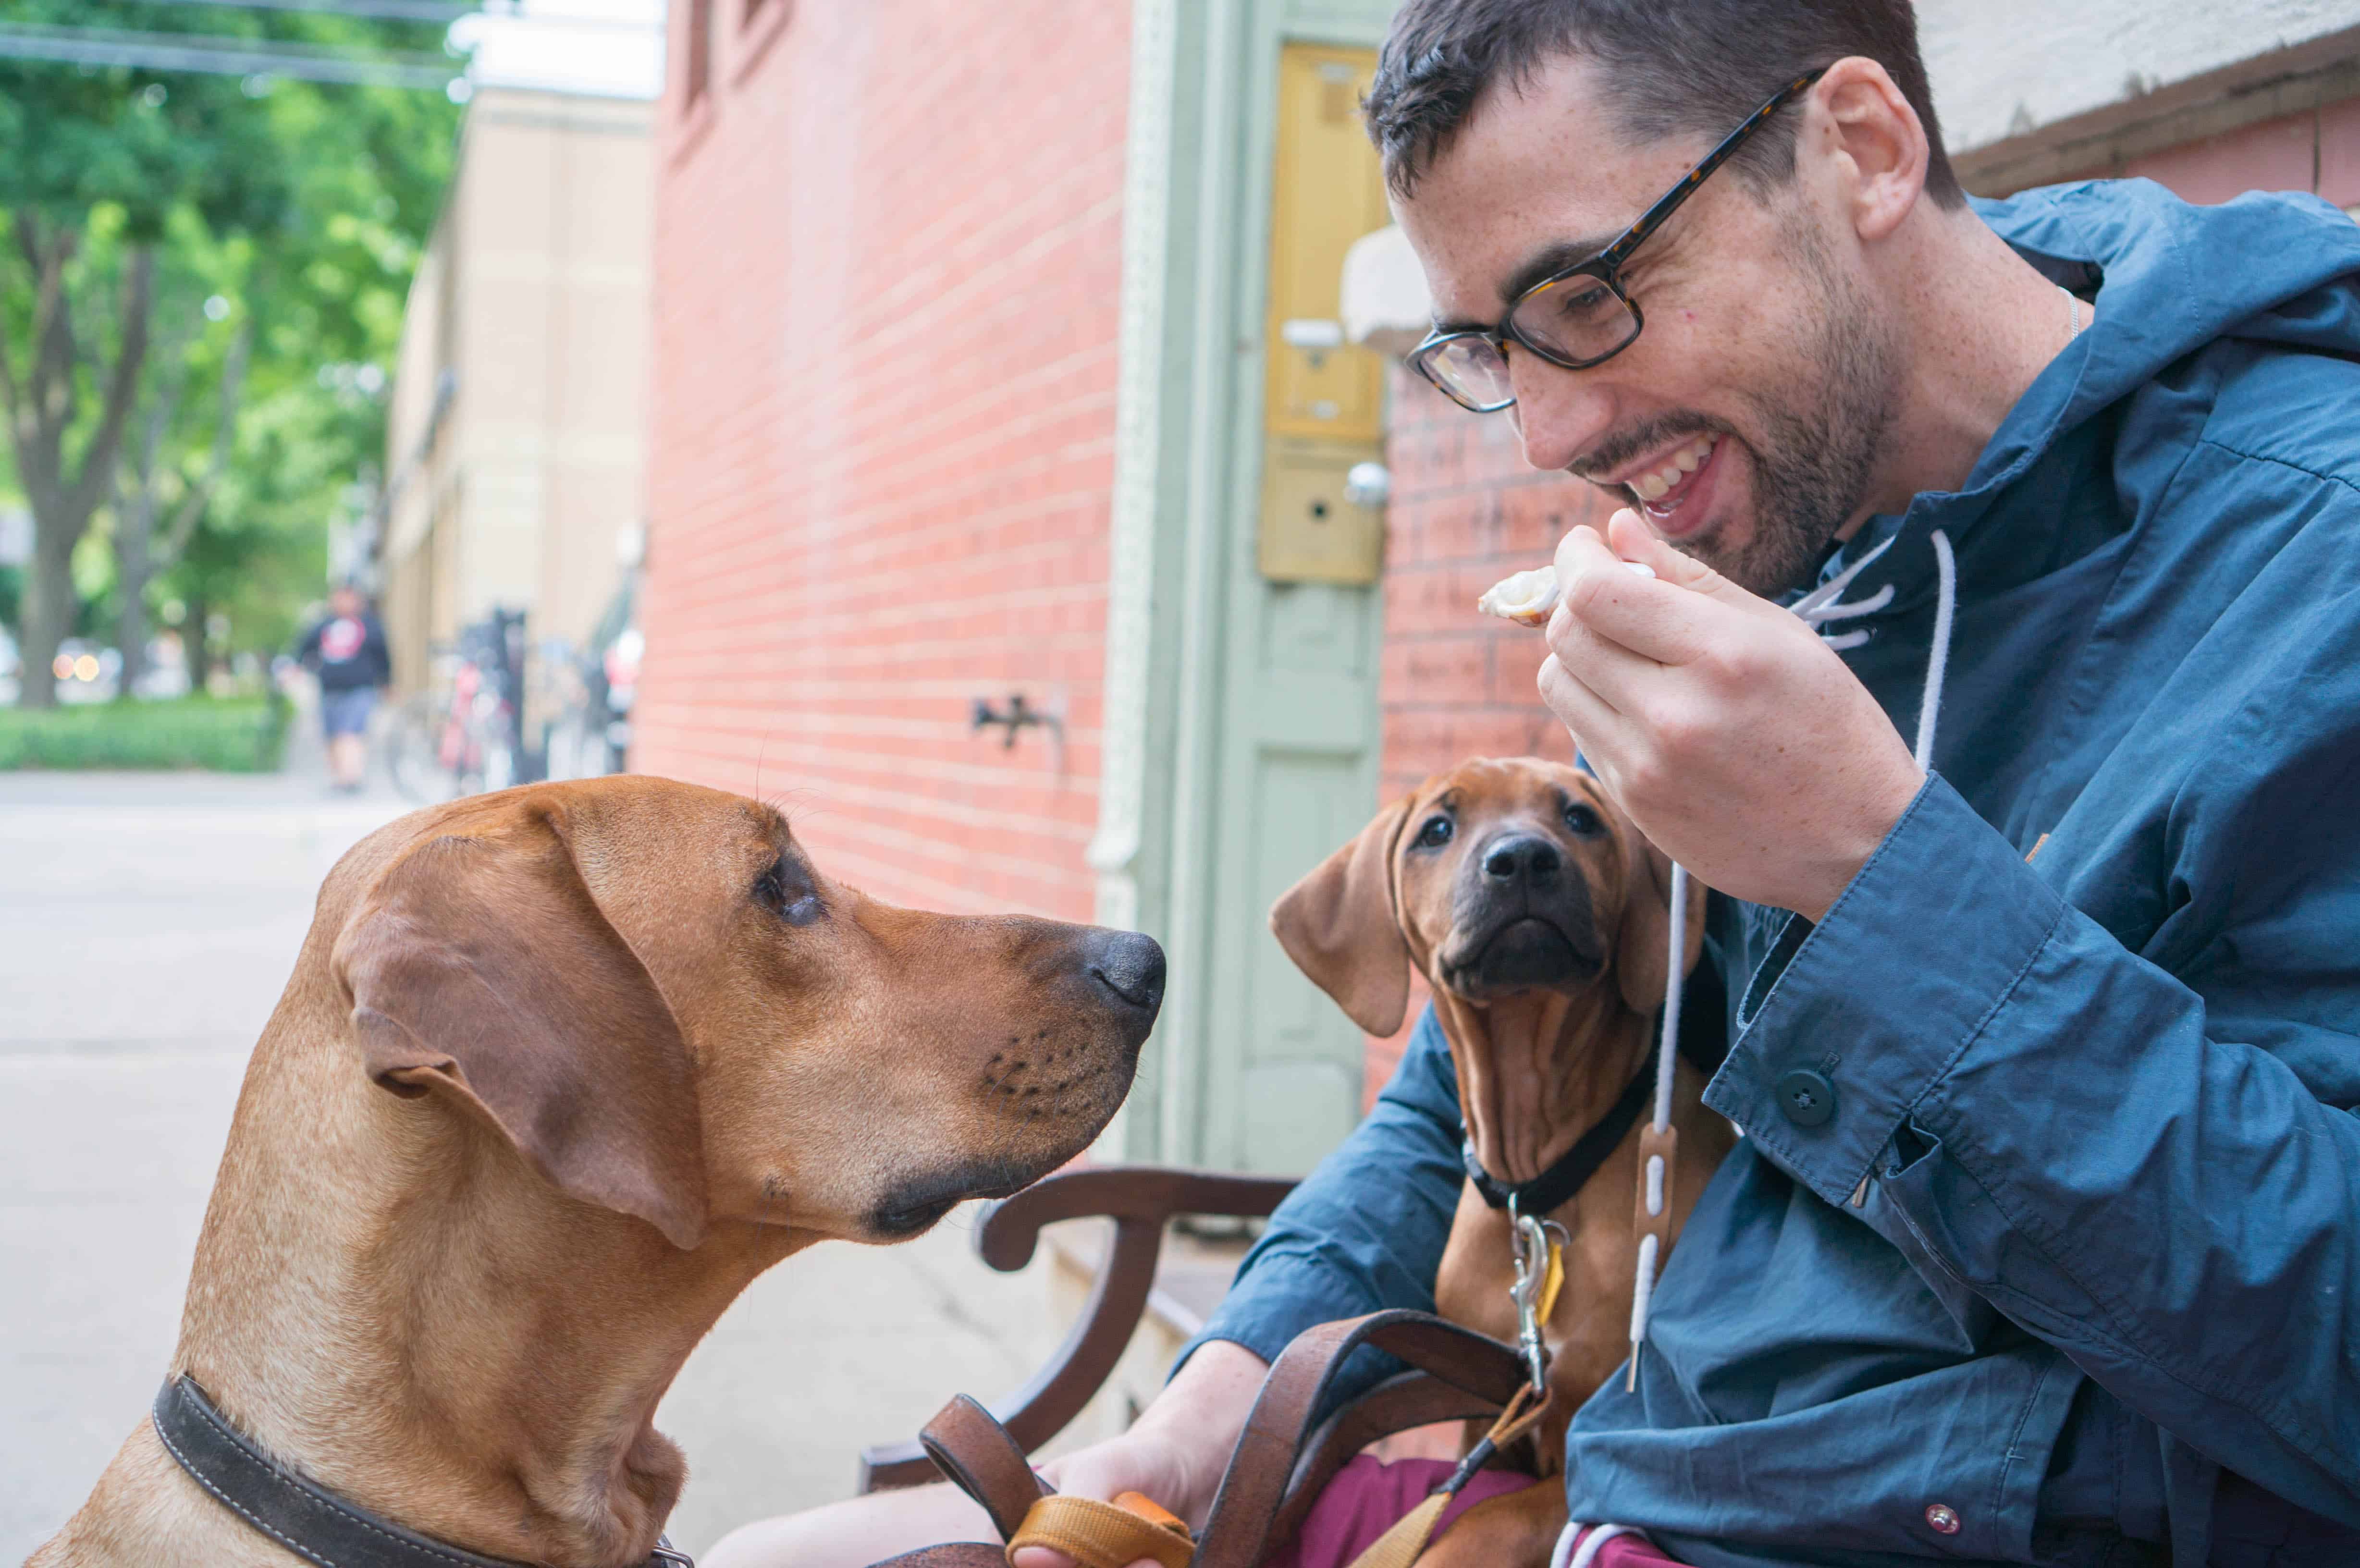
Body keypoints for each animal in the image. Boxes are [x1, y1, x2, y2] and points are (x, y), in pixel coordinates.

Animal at [1274, 756, 1737, 1558]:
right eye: (1436, 829)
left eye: (1582, 819)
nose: (1522, 858)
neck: (1540, 1174)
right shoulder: (1489, 1418)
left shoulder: (1603, 1453)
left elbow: (1482, 1520)